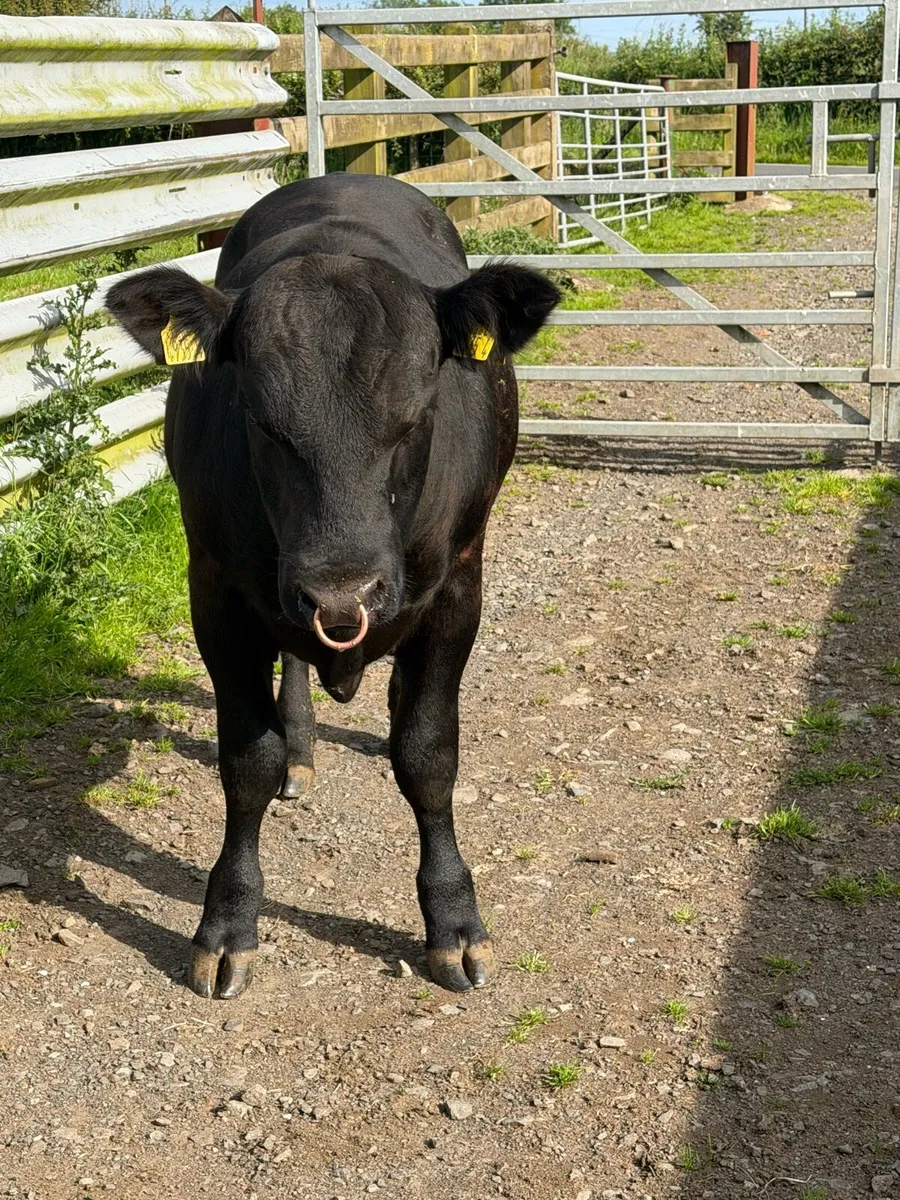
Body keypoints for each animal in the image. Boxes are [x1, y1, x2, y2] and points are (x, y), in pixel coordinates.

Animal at [106, 172, 560, 1000]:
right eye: (261, 421)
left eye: (417, 413)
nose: (343, 594)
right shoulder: (215, 591)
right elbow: (246, 762)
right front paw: (228, 923)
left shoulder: (460, 584)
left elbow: (429, 754)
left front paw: (454, 920)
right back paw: (303, 746)